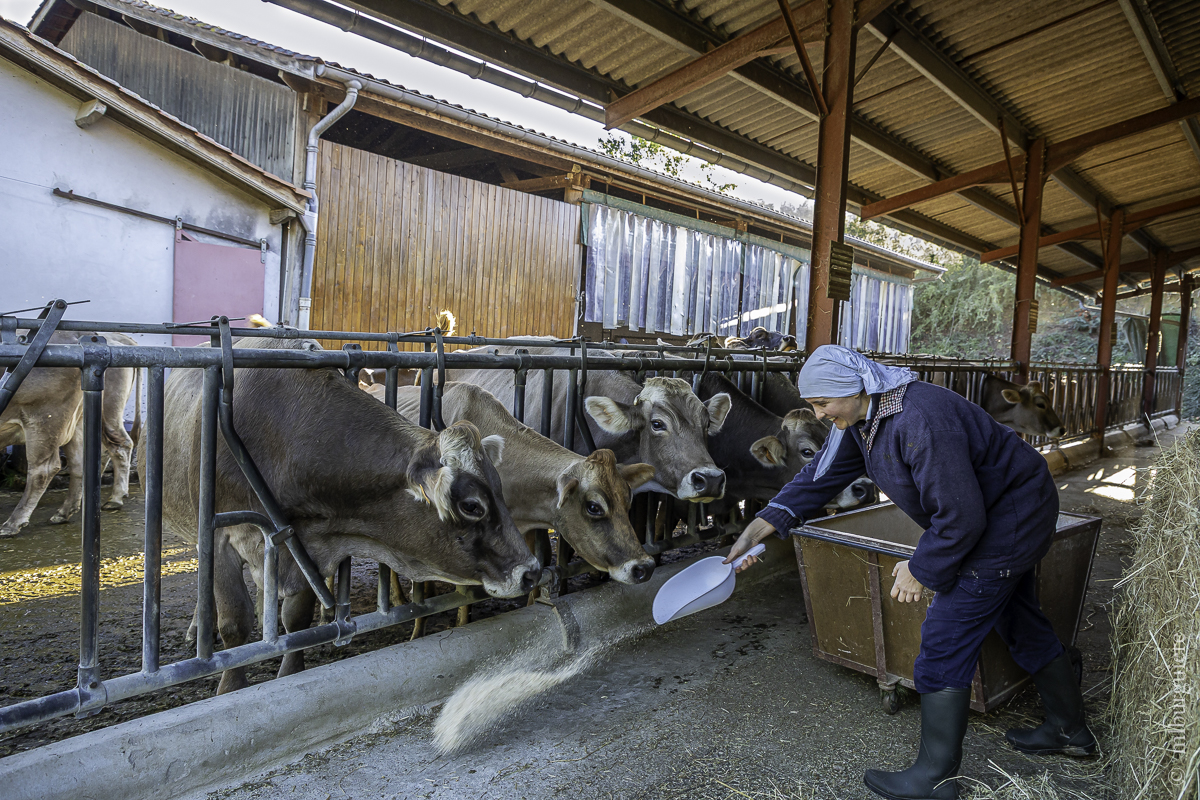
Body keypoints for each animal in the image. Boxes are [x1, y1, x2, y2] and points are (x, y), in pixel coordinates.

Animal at [1, 331, 139, 536]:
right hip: (77, 421)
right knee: (85, 460)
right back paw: (67, 511)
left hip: (47, 418)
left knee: (44, 469)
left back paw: (13, 523)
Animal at [152, 336, 539, 694]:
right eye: (472, 505)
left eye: (500, 488)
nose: (532, 572)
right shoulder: (221, 536)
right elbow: (234, 623)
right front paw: (230, 685)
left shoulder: (308, 543)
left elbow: (296, 619)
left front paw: (289, 670)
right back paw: (198, 629)